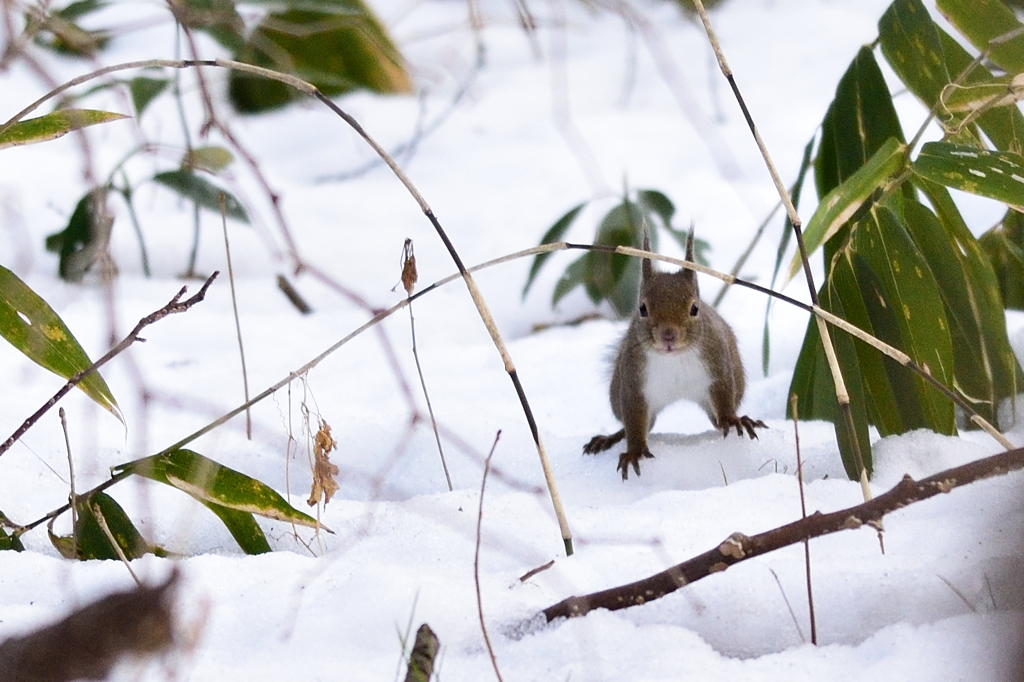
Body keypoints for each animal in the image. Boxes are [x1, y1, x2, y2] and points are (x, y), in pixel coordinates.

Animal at [589, 228, 765, 477]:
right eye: (642, 309)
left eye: (694, 308)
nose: (668, 335)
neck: (674, 357)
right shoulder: (633, 382)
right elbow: (634, 419)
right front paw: (635, 451)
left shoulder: (717, 365)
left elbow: (723, 394)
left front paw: (732, 420)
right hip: (616, 395)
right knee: (637, 424)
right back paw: (610, 438)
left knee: (715, 419)